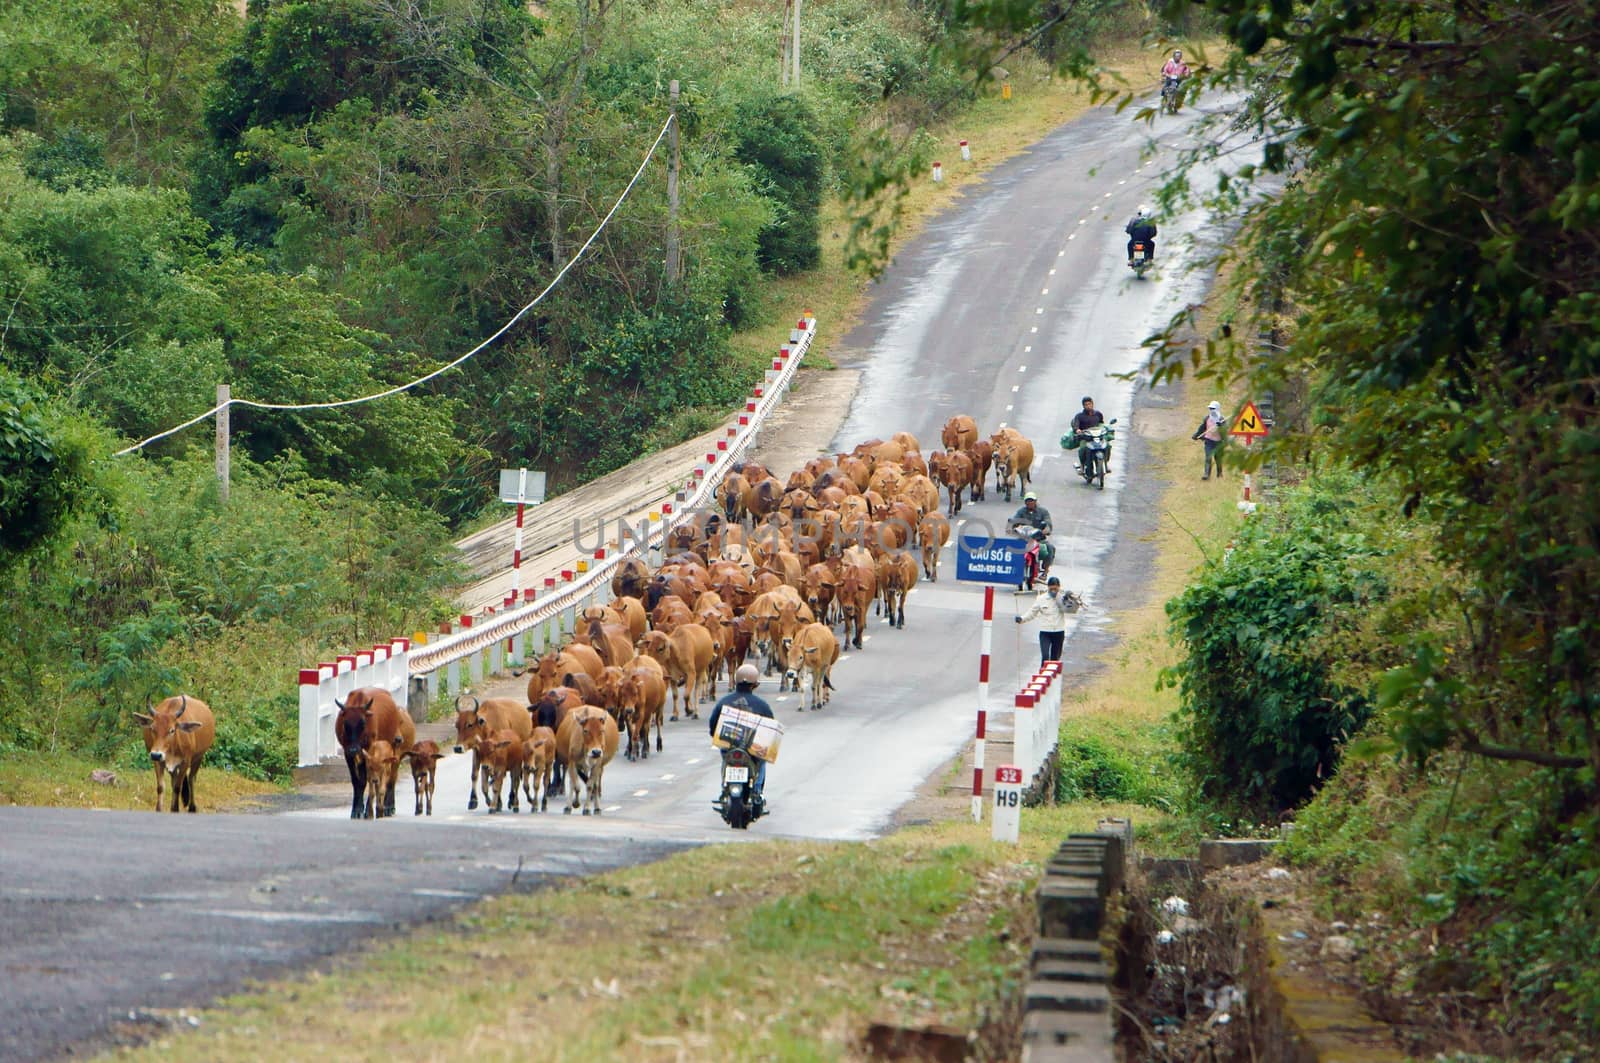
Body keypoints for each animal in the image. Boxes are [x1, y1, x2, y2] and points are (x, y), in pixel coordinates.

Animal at [332, 688, 416, 819]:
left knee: (391, 778)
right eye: (345, 724)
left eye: (362, 723)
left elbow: (368, 780)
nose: (354, 749)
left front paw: (365, 810)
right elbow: (357, 781)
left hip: (393, 756)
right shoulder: (348, 753)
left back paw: (388, 807)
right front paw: (356, 809)